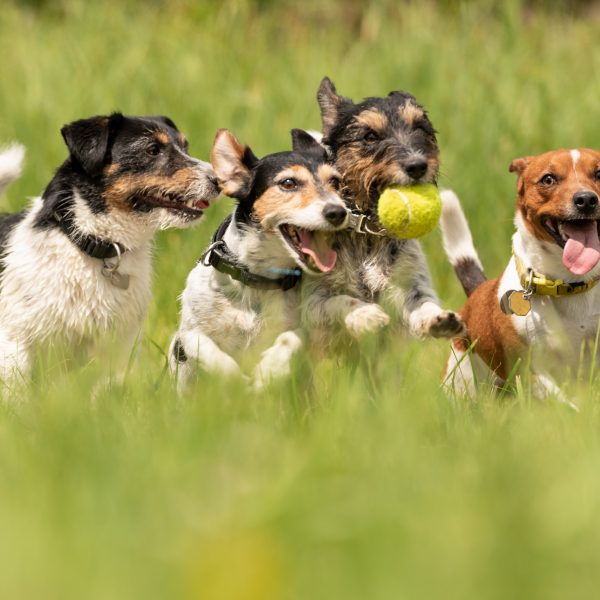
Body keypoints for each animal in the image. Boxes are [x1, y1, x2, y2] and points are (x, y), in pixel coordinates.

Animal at [0, 113, 218, 386]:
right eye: (152, 149)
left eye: (184, 146)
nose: (218, 181)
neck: (93, 247)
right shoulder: (15, 344)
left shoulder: (119, 348)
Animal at [169, 127, 350, 390]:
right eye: (288, 182)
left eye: (335, 182)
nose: (338, 212)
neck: (257, 278)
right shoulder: (187, 334)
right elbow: (204, 346)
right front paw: (235, 380)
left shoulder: (305, 326)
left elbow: (292, 338)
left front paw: (268, 370)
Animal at [302, 79, 466, 350]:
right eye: (370, 136)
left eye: (420, 127)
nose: (417, 166)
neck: (368, 233)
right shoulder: (312, 302)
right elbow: (340, 300)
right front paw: (365, 315)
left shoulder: (412, 284)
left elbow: (423, 304)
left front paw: (439, 319)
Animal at [438, 148, 600, 400]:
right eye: (548, 179)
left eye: (599, 173)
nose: (586, 200)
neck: (570, 284)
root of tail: (477, 291)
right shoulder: (528, 370)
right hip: (461, 379)